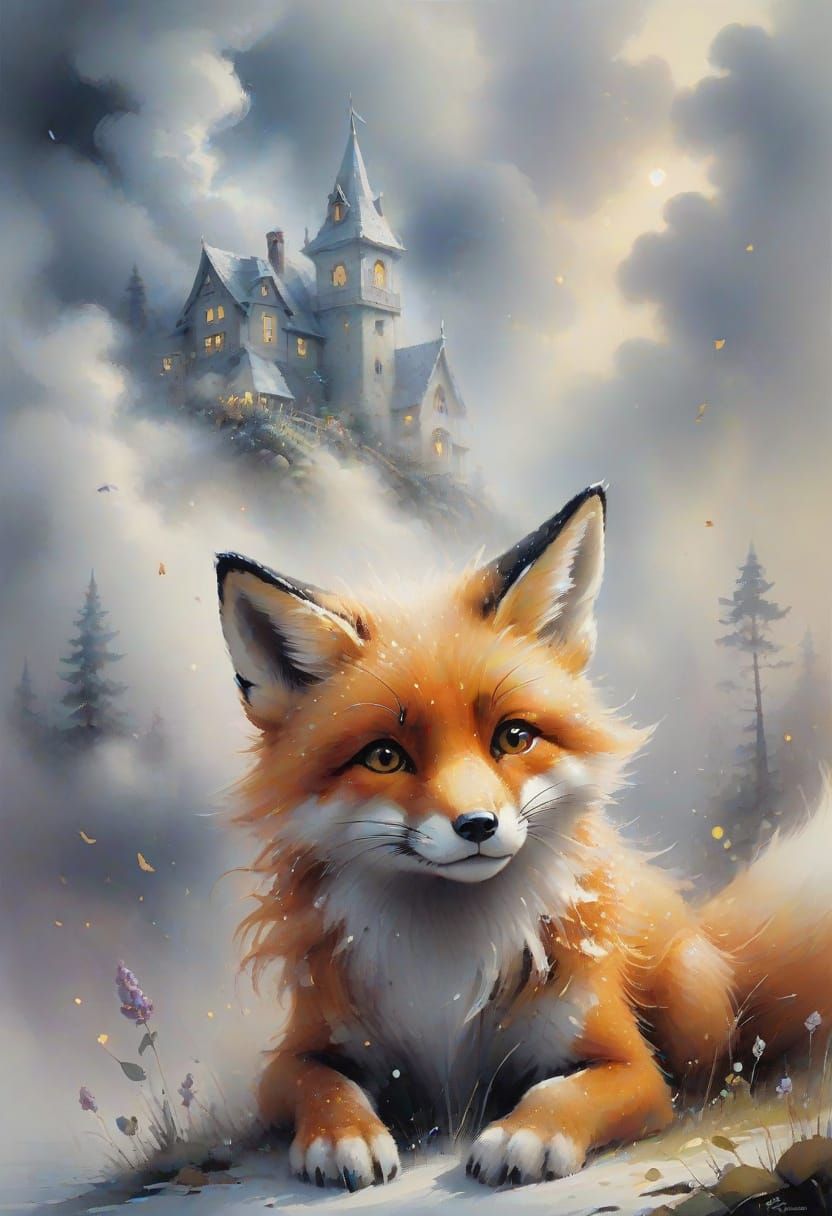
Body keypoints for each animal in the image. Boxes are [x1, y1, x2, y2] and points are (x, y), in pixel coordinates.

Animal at [215, 485, 832, 1191]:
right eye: (384, 757)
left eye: (513, 737)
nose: (478, 826)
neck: (447, 957)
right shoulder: (294, 1059)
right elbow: (325, 1086)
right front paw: (343, 1137)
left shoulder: (632, 1068)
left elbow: (561, 1090)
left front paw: (525, 1135)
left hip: (690, 985)